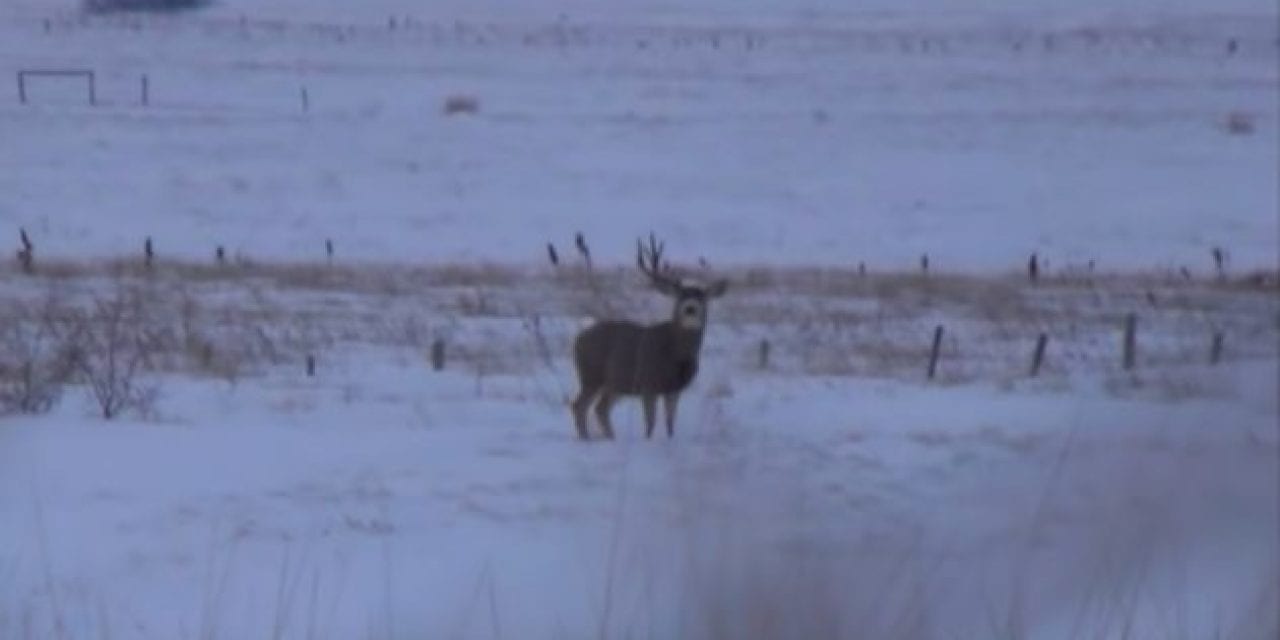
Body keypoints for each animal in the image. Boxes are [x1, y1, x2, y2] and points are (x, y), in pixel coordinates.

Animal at [570, 235, 732, 440]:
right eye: (679, 296)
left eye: (702, 298)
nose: (690, 308)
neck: (674, 354)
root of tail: (578, 339)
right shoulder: (648, 384)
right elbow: (651, 422)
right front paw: (648, 440)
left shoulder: (674, 389)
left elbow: (670, 423)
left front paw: (670, 440)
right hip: (591, 375)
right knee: (579, 405)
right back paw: (586, 438)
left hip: (614, 383)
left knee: (600, 408)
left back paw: (610, 438)